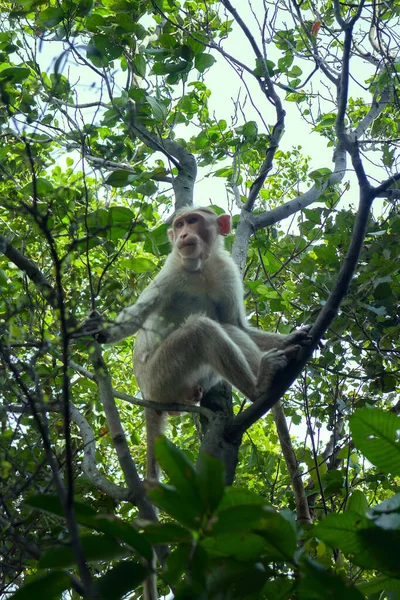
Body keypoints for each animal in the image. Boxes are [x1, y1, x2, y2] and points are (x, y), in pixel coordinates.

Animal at [92, 209, 310, 480]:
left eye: (193, 221)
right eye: (179, 224)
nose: (184, 234)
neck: (199, 268)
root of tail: (146, 395)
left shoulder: (225, 270)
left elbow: (236, 325)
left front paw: (290, 339)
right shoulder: (170, 271)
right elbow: (137, 316)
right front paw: (99, 331)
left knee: (226, 329)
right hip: (159, 378)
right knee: (200, 330)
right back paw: (258, 388)